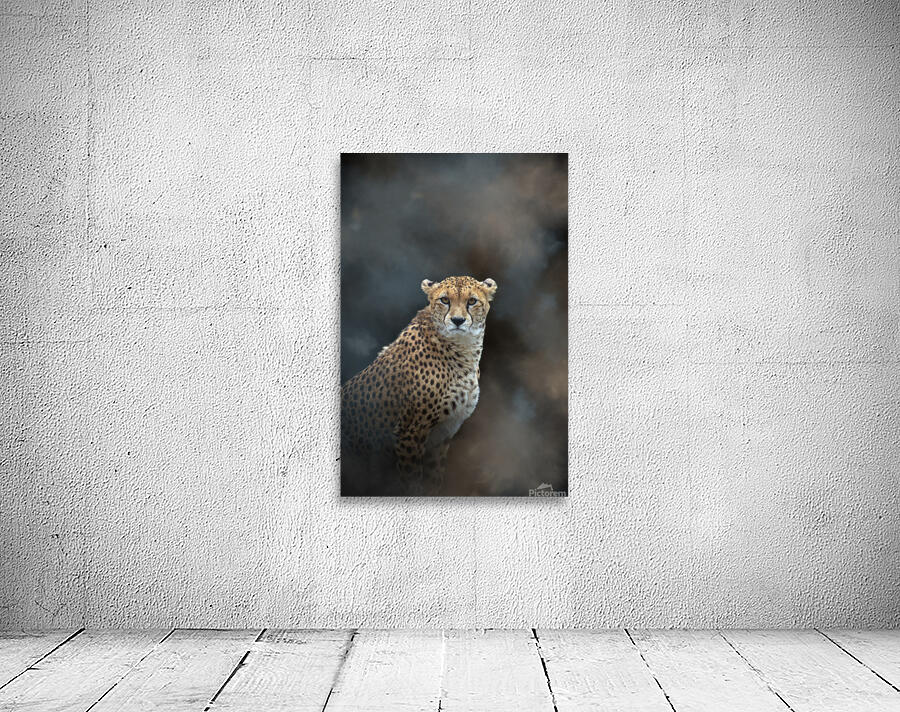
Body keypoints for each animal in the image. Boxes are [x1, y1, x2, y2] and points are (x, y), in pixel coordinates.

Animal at [341, 275, 498, 495]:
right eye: (445, 300)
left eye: (472, 301)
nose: (458, 321)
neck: (461, 349)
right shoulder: (410, 432)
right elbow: (412, 481)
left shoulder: (441, 436)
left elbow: (434, 479)